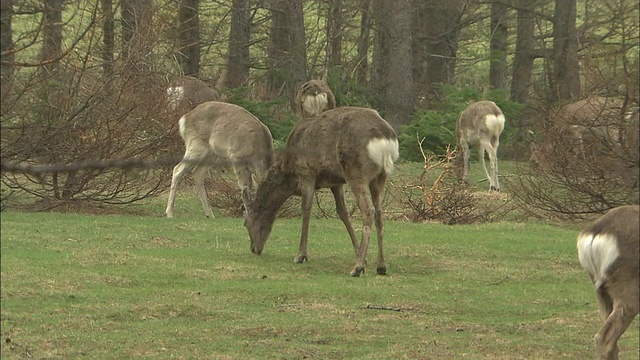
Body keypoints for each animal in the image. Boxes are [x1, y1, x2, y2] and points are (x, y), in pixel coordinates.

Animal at [242, 106, 398, 276]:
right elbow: (342, 212)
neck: (289, 174)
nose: (254, 249)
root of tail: (386, 138)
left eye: (245, 224)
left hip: (356, 171)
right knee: (379, 213)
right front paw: (361, 254)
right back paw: (381, 266)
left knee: (368, 210)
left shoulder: (306, 173)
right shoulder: (336, 182)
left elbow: (306, 210)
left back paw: (357, 268)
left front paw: (301, 255)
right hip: (380, 177)